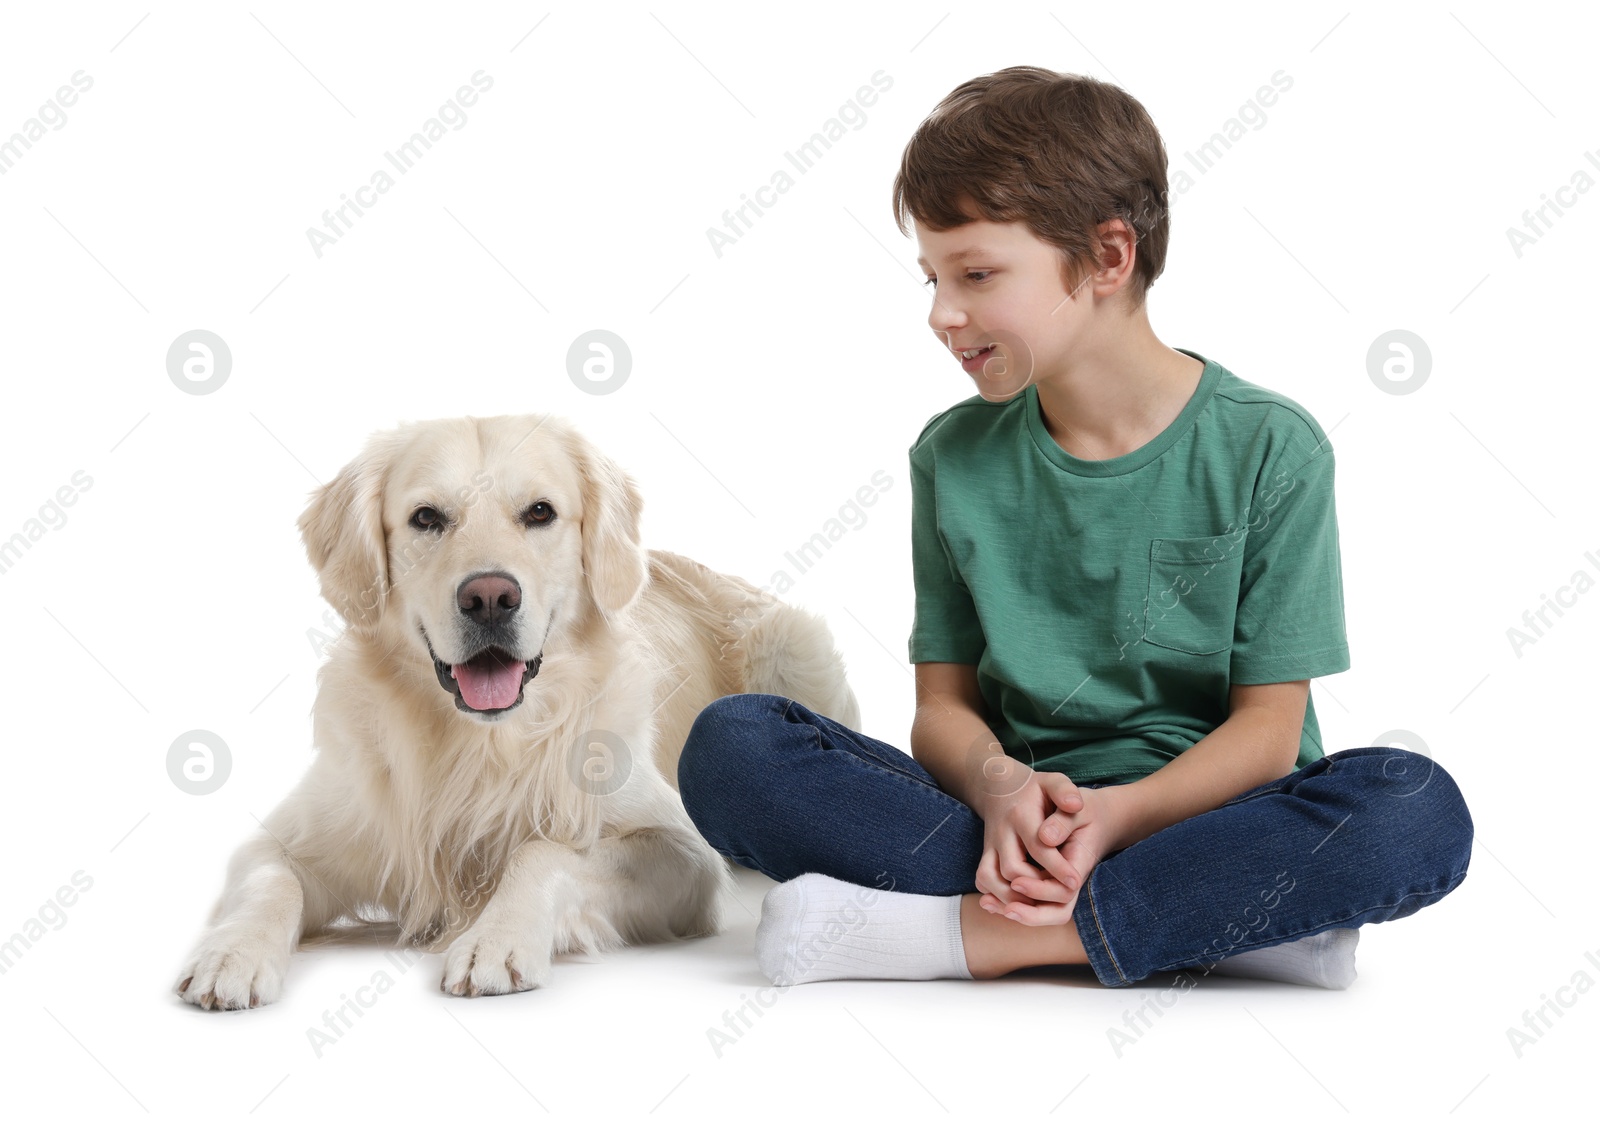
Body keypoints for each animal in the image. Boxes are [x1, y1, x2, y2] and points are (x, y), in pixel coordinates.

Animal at [172, 416, 864, 1011]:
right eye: (425, 518)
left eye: (540, 513)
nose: (489, 597)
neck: (481, 743)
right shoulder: (292, 834)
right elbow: (269, 881)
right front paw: (232, 953)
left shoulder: (682, 853)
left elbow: (544, 851)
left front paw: (495, 938)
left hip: (793, 646)